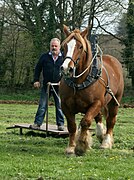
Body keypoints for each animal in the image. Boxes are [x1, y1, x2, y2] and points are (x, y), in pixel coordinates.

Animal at [59, 24, 124, 155]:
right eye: (64, 46)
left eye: (80, 46)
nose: (66, 69)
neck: (79, 81)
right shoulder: (65, 105)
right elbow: (72, 126)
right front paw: (71, 147)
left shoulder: (97, 103)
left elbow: (85, 122)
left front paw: (81, 146)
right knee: (99, 117)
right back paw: (100, 134)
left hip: (114, 101)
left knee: (111, 120)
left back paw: (106, 141)